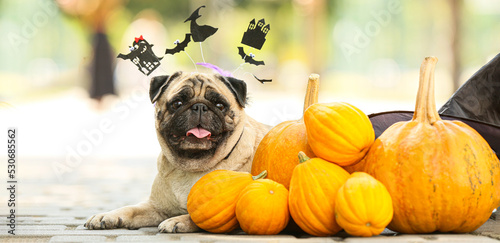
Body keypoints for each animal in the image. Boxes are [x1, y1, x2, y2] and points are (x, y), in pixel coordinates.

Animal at [84, 71, 272, 233]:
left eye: (220, 105)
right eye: (177, 104)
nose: (199, 107)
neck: (193, 166)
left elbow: (198, 216)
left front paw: (177, 220)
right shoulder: (155, 207)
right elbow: (130, 209)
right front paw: (106, 215)